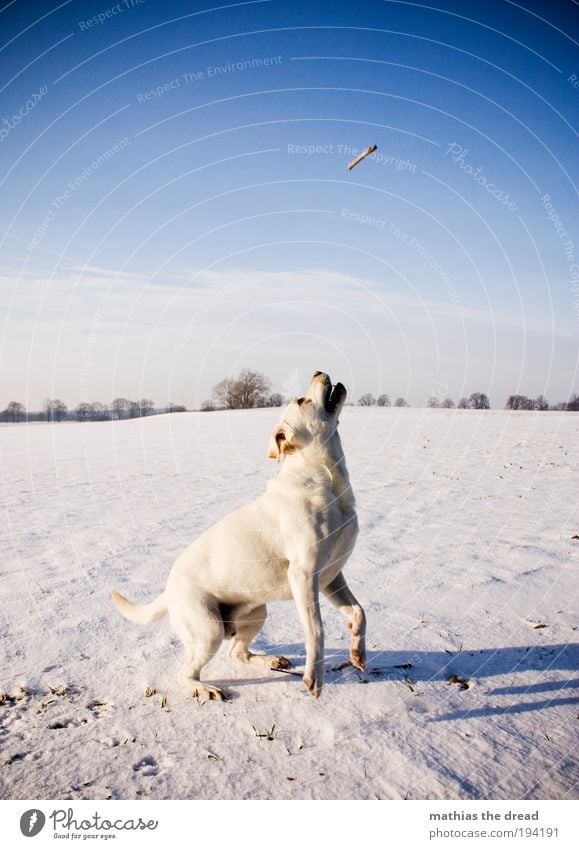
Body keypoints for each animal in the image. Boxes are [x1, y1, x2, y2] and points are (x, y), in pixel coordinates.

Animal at [112, 368, 368, 700]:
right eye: (301, 400)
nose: (318, 371)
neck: (328, 481)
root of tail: (168, 590)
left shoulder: (331, 577)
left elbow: (359, 613)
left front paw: (358, 652)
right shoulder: (304, 575)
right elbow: (316, 630)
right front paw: (315, 678)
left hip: (256, 613)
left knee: (237, 652)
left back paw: (270, 660)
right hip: (208, 630)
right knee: (185, 673)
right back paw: (205, 688)